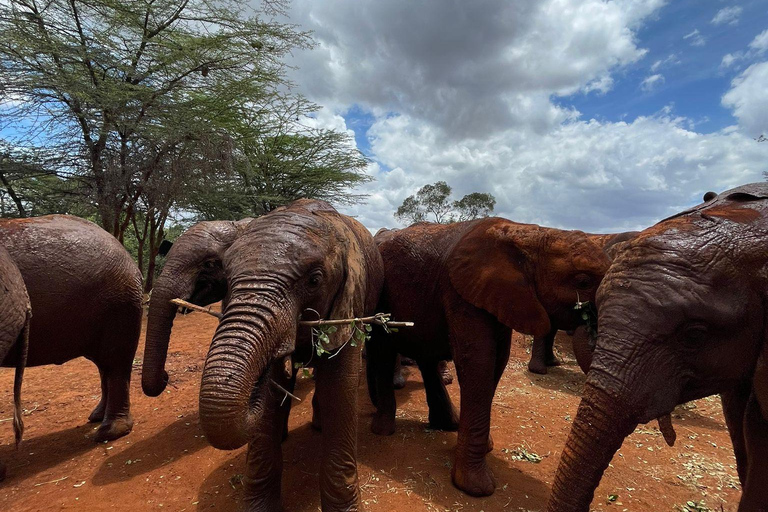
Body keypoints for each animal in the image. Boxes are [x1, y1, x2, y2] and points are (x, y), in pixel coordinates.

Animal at [366, 219, 612, 496]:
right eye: (583, 282)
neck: (531, 235)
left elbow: (497, 363)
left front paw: (485, 448)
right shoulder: (461, 293)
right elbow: (478, 363)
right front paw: (476, 487)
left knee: (425, 356)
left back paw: (447, 424)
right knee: (384, 350)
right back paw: (383, 431)